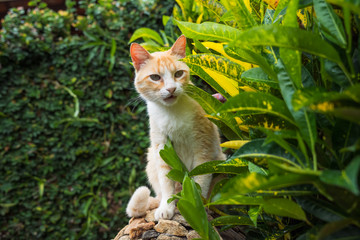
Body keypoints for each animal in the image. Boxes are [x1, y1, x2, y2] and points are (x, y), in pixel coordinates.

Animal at [125, 34, 224, 220]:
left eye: (178, 74)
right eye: (155, 77)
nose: (171, 89)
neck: (172, 114)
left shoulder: (203, 149)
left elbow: (201, 181)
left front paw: (198, 209)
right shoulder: (162, 149)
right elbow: (167, 183)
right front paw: (166, 207)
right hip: (151, 159)